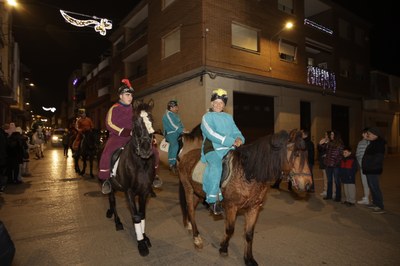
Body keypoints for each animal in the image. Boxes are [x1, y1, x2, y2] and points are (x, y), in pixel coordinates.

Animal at [105, 99, 155, 256]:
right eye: (135, 122)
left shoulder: (144, 191)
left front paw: (145, 237)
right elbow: (136, 216)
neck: (141, 163)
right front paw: (141, 244)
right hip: (110, 186)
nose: (145, 150)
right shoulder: (129, 192)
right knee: (112, 201)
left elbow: (142, 214)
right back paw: (117, 222)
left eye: (152, 119)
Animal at [178, 128, 312, 264]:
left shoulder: (254, 208)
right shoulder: (231, 207)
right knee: (191, 210)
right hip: (188, 188)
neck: (248, 174)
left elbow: (249, 234)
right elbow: (230, 229)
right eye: (296, 154)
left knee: (191, 209)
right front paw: (223, 248)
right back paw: (197, 239)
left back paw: (189, 225)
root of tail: (186, 155)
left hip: (198, 193)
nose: (307, 184)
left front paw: (249, 259)